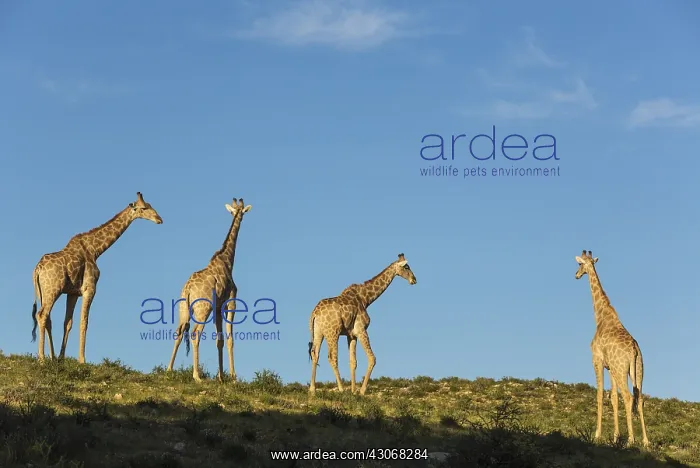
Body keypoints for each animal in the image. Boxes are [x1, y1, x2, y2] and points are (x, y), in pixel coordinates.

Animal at [31, 192, 163, 363]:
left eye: (150, 205)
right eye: (144, 208)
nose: (159, 219)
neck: (95, 250)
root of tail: (37, 270)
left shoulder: (73, 293)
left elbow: (68, 322)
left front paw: (61, 358)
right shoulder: (90, 288)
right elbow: (84, 322)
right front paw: (82, 360)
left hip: (42, 292)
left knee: (48, 319)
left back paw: (51, 357)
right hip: (53, 289)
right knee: (42, 315)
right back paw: (41, 359)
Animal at [166, 198, 252, 382]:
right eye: (241, 212)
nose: (241, 217)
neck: (227, 260)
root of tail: (188, 289)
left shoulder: (218, 307)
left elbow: (219, 340)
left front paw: (221, 377)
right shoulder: (230, 302)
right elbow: (229, 339)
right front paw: (233, 377)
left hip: (183, 309)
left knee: (179, 332)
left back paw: (169, 370)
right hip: (202, 310)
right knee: (195, 333)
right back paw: (196, 376)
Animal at [308, 253, 417, 396]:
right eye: (406, 267)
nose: (414, 279)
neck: (366, 298)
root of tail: (314, 313)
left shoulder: (351, 335)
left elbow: (353, 362)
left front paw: (354, 391)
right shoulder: (361, 330)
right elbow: (372, 358)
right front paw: (361, 391)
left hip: (318, 332)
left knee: (315, 354)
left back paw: (312, 389)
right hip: (333, 332)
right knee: (332, 357)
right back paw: (341, 389)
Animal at [575, 250, 650, 447]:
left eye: (579, 264)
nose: (576, 275)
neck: (600, 317)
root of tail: (633, 349)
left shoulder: (597, 360)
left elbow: (600, 395)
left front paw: (597, 435)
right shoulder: (610, 368)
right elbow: (613, 398)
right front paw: (616, 437)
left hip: (622, 369)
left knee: (629, 397)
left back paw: (631, 440)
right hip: (637, 369)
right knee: (639, 398)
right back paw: (646, 441)